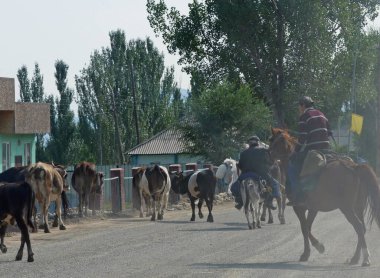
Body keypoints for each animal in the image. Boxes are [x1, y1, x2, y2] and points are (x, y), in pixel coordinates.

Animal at [268, 127, 380, 266]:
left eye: (273, 140)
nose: (268, 155)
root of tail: (354, 167)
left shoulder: (299, 207)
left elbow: (304, 228)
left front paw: (315, 248)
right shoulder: (313, 208)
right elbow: (307, 227)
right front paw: (310, 251)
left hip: (347, 208)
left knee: (359, 227)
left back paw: (365, 258)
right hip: (358, 207)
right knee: (362, 229)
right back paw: (356, 257)